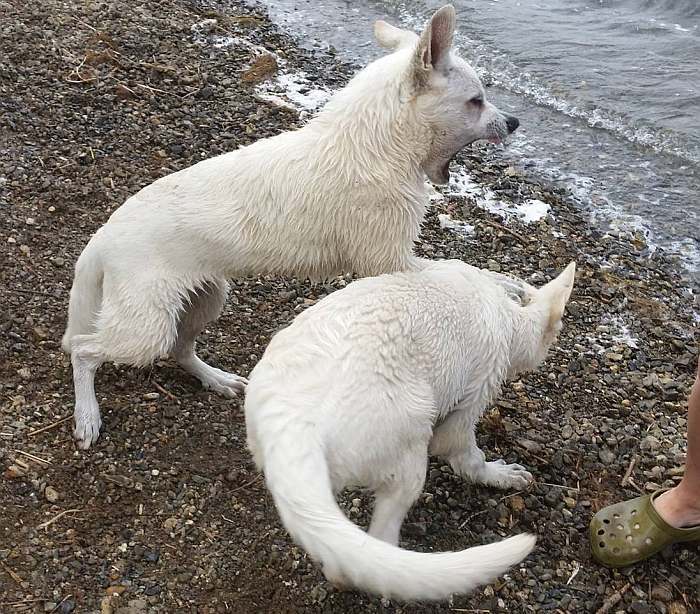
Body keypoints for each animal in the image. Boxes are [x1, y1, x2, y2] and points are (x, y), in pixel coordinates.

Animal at [61, 4, 520, 450]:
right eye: (476, 101)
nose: (514, 122)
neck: (377, 144)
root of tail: (102, 238)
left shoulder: (394, 260)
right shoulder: (390, 261)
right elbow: (460, 268)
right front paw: (506, 284)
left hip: (206, 296)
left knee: (179, 348)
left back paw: (215, 379)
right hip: (144, 328)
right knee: (83, 351)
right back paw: (87, 414)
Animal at [245, 260, 576, 600]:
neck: (505, 311)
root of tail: (292, 421)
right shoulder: (472, 398)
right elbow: (469, 457)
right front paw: (502, 475)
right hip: (411, 448)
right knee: (373, 550)